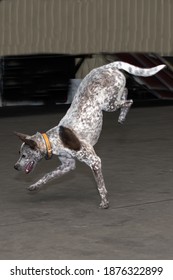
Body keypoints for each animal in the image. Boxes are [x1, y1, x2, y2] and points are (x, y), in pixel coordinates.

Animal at [14, 62, 166, 209]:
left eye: (24, 155)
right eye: (20, 154)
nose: (15, 167)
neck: (53, 141)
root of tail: (107, 66)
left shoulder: (94, 161)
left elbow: (100, 186)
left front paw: (104, 202)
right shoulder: (67, 165)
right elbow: (47, 176)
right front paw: (35, 185)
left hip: (108, 104)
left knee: (129, 100)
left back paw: (122, 116)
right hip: (110, 102)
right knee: (126, 92)